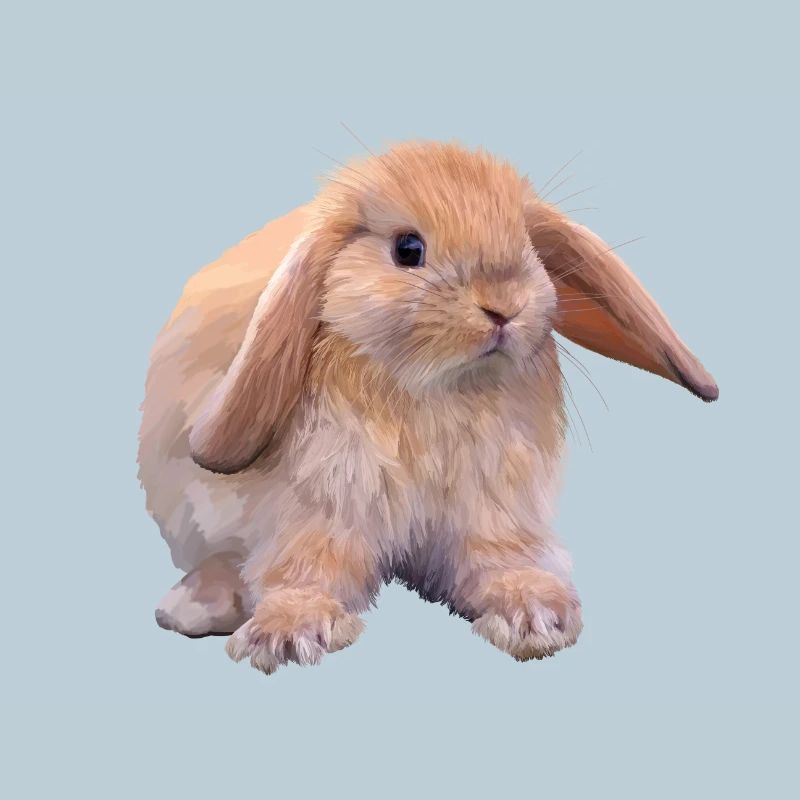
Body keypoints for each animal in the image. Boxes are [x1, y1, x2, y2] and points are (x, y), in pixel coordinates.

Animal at [138, 141, 718, 674]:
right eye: (407, 248)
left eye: (529, 245)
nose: (504, 306)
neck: (434, 390)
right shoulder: (319, 506)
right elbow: (307, 568)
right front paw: (288, 634)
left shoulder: (494, 506)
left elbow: (501, 559)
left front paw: (535, 614)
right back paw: (194, 606)